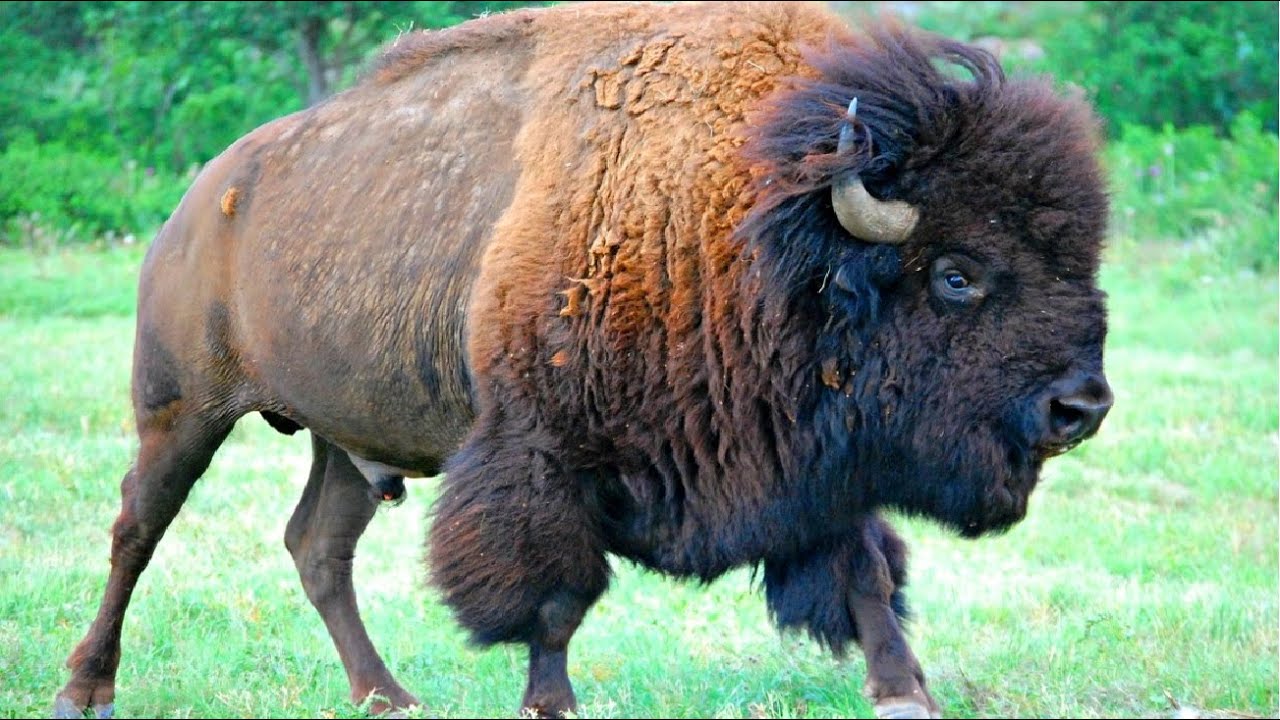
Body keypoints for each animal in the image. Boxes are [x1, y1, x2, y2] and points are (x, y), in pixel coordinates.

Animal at [53, 2, 1114, 718]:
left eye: (1081, 259)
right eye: (958, 274)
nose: (1083, 407)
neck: (762, 226)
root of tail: (201, 201)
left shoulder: (821, 464)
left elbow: (863, 573)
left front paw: (904, 693)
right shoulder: (543, 455)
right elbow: (555, 598)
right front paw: (550, 703)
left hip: (348, 438)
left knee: (317, 548)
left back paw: (386, 695)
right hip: (182, 411)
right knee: (135, 530)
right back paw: (85, 688)